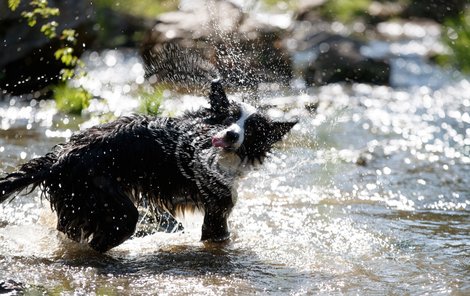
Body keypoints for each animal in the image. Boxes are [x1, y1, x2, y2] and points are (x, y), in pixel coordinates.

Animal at [0, 80, 296, 252]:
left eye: (253, 129)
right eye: (229, 118)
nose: (232, 135)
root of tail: (60, 157)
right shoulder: (217, 210)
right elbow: (218, 235)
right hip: (112, 207)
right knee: (101, 240)